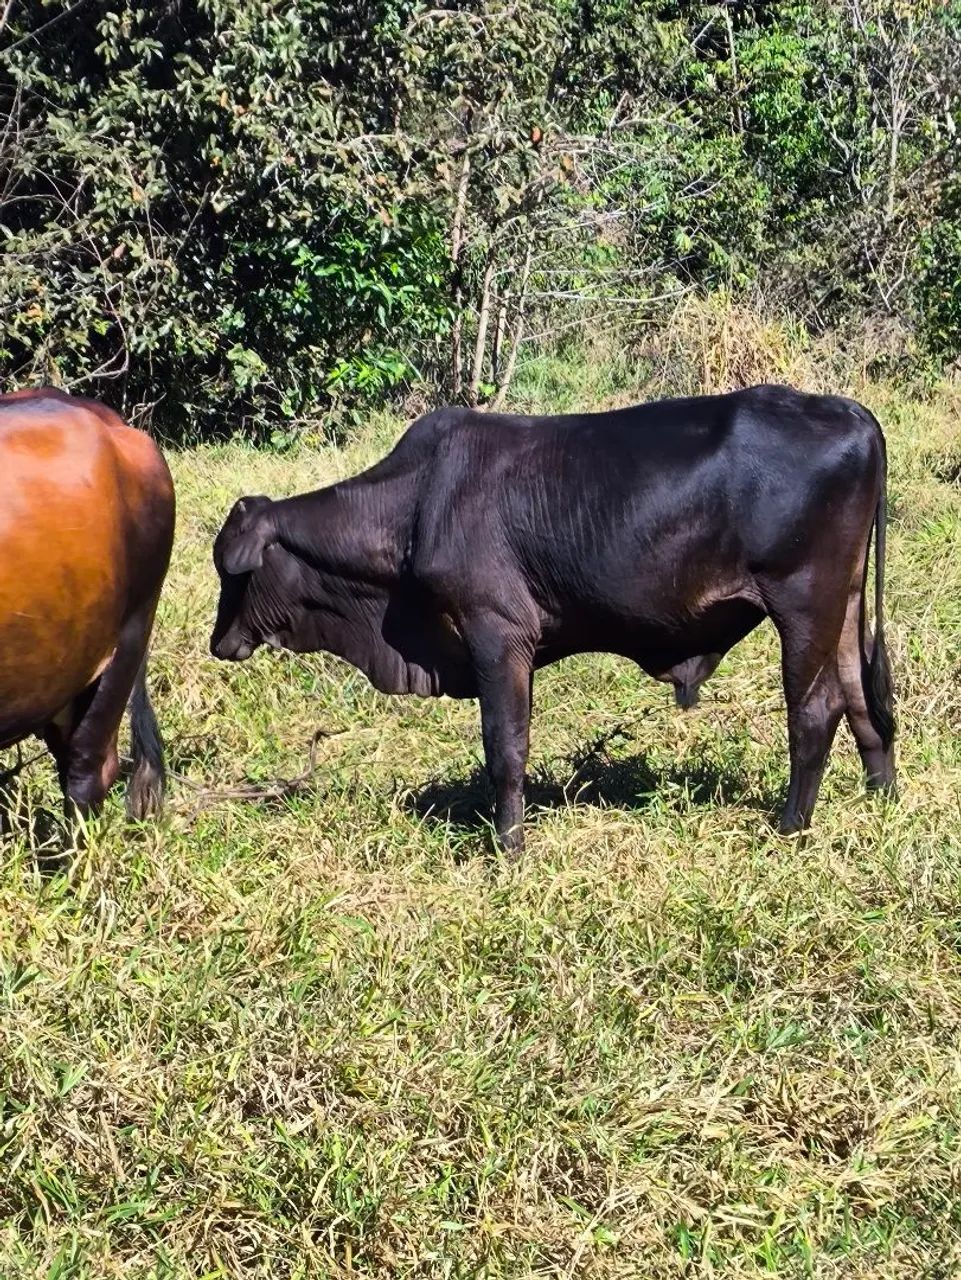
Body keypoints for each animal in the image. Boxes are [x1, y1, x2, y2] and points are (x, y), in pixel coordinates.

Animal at [210, 384, 895, 857]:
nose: (220, 643)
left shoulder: (497, 632)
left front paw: (508, 847)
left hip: (802, 602)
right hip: (844, 602)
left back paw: (790, 827)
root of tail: (855, 415)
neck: (414, 505)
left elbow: (505, 748)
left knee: (817, 709)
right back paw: (880, 796)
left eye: (234, 572)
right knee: (864, 698)